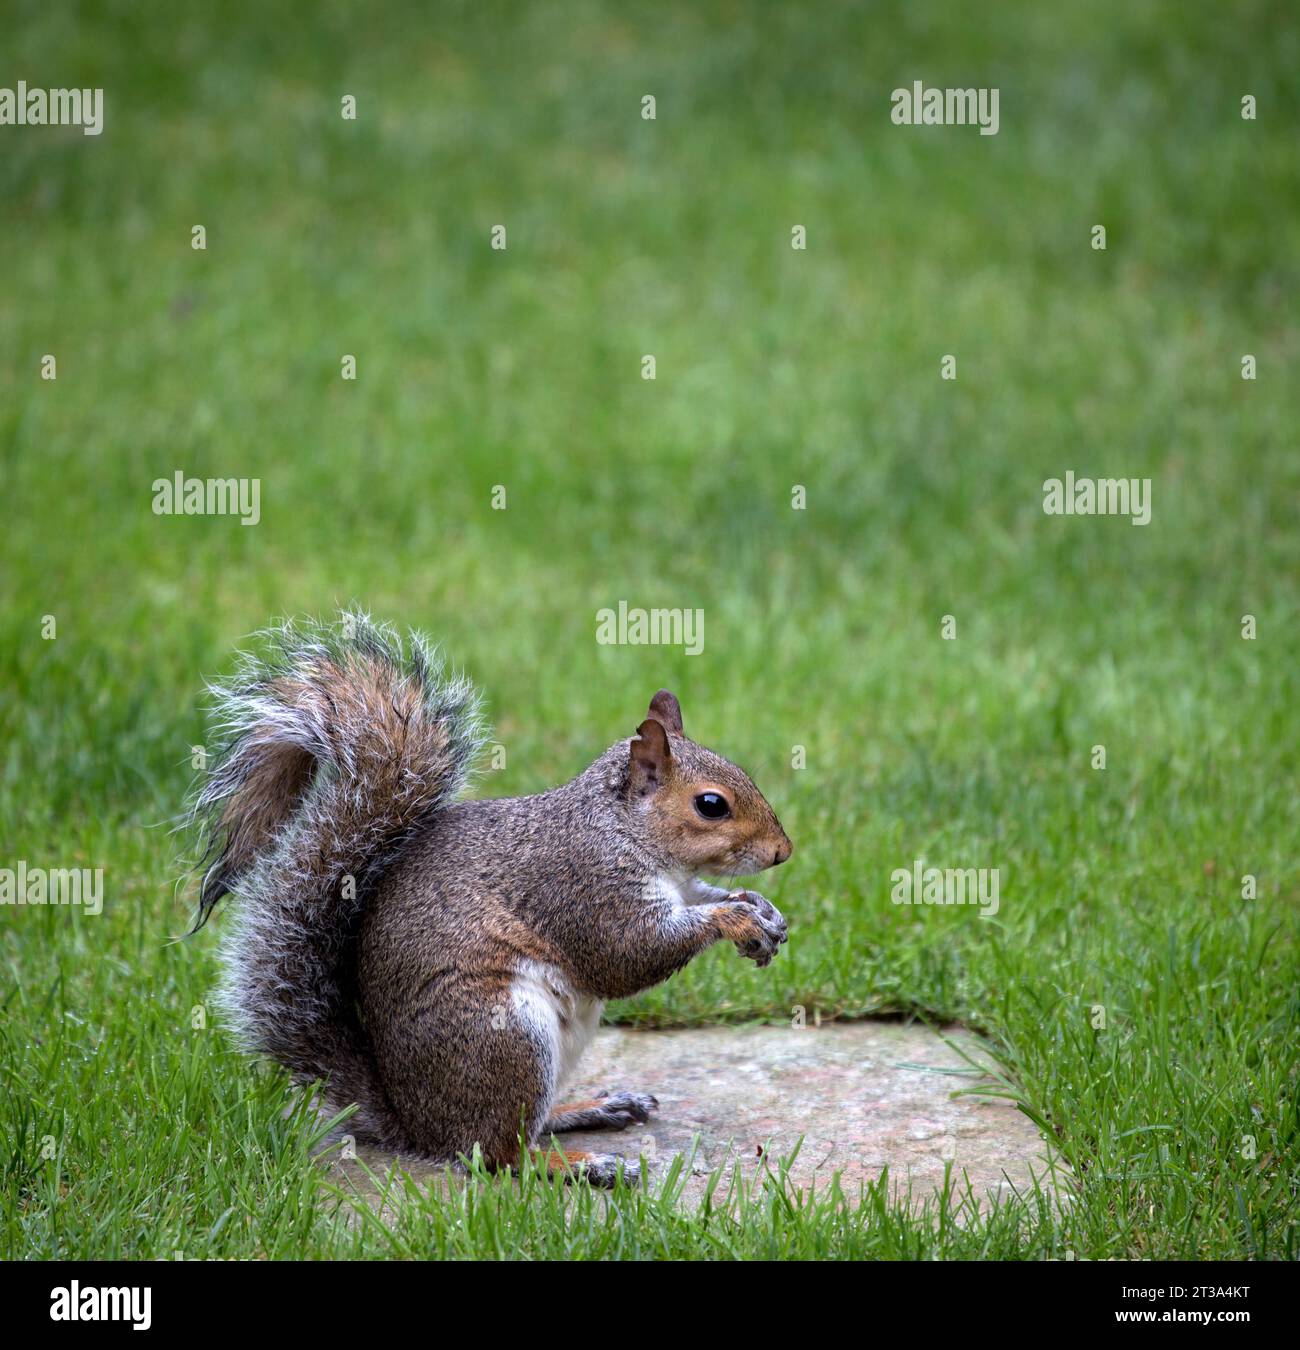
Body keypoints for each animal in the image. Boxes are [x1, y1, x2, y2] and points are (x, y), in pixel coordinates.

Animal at [186, 618, 788, 1188]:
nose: (783, 851)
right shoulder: (582, 886)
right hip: (505, 1034)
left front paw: (762, 911)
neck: (625, 832)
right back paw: (582, 1165)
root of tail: (414, 1125)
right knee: (494, 1153)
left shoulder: (679, 885)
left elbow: (700, 899)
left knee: (523, 1128)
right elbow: (625, 955)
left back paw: (591, 1107)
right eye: (711, 805)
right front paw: (733, 918)